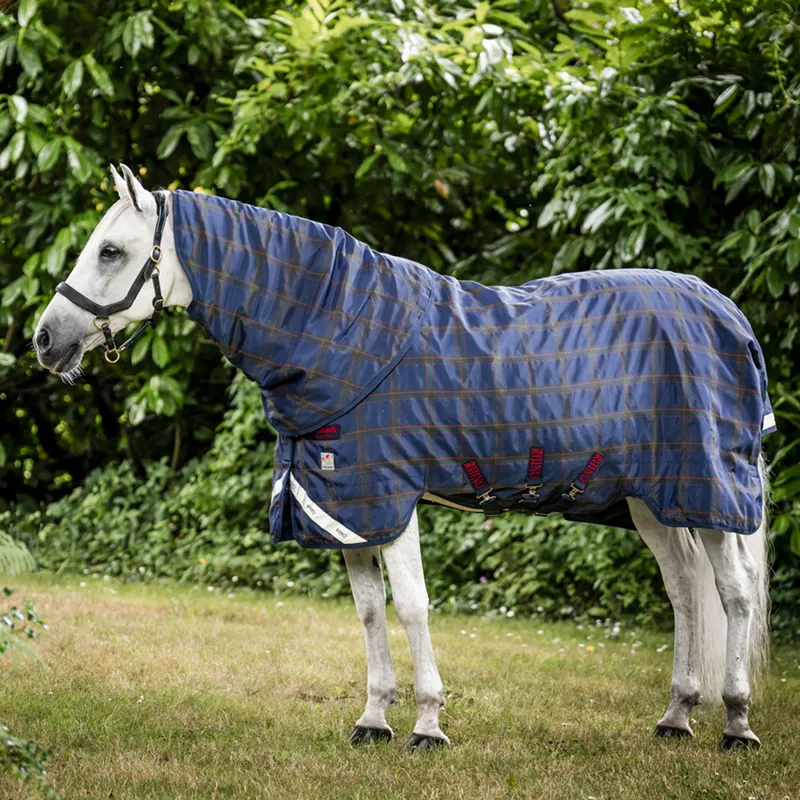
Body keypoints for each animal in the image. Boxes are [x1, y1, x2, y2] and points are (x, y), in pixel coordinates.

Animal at [34, 165, 772, 751]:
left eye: (110, 250)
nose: (44, 340)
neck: (339, 333)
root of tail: (727, 312)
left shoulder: (391, 497)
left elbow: (413, 606)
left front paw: (428, 724)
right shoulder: (346, 505)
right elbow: (368, 612)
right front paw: (373, 719)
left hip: (709, 488)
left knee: (733, 593)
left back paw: (736, 724)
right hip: (653, 498)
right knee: (684, 591)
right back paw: (677, 716)